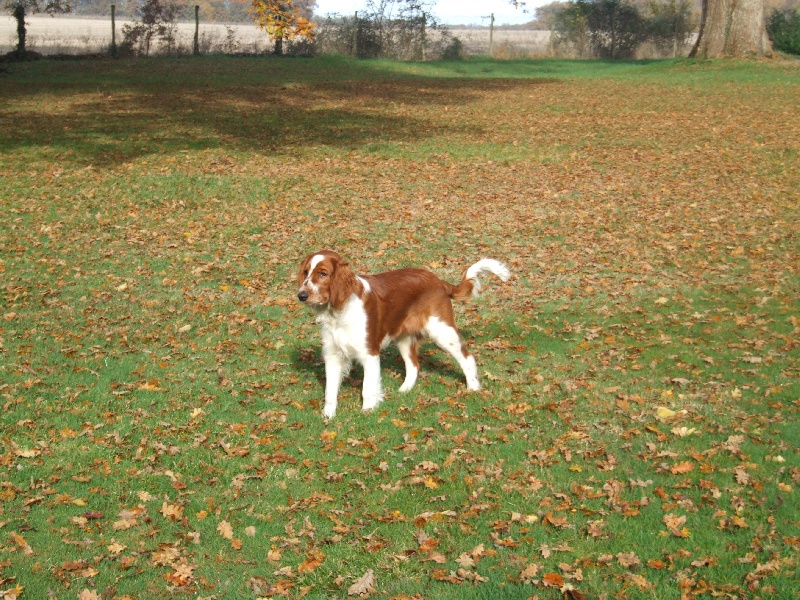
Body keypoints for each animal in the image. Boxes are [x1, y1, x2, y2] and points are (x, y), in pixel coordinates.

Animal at [297, 251, 510, 418]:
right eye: (306, 272)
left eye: (323, 274)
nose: (301, 295)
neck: (338, 312)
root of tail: (439, 281)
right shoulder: (332, 355)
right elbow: (330, 391)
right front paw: (328, 416)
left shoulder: (369, 353)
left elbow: (368, 388)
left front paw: (367, 412)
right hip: (404, 339)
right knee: (414, 365)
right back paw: (404, 390)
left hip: (442, 331)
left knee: (467, 358)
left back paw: (473, 388)